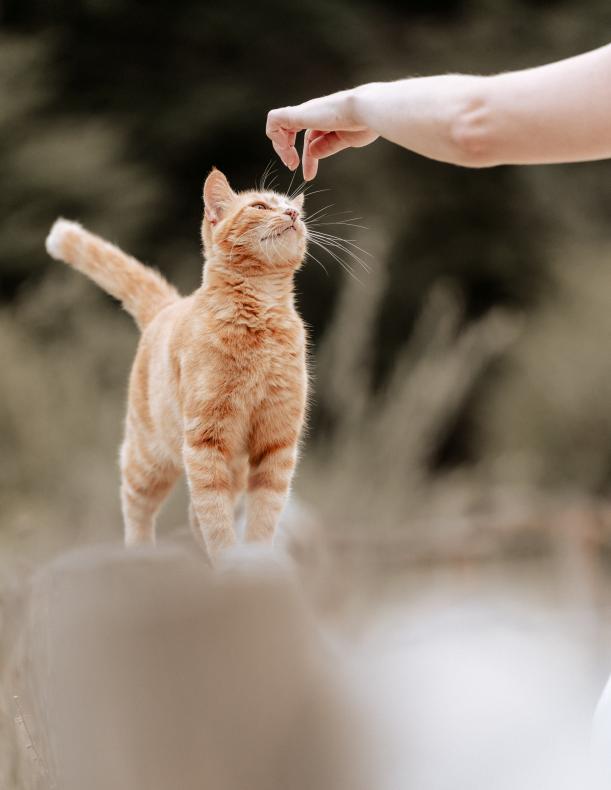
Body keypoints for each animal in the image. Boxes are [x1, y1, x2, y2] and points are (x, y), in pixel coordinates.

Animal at [45, 169, 308, 564]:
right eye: (260, 206)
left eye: (295, 209)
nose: (292, 214)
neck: (261, 317)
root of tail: (169, 305)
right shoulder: (206, 441)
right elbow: (214, 515)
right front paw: (228, 562)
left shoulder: (276, 442)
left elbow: (263, 514)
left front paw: (254, 561)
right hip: (149, 456)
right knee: (137, 505)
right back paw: (141, 553)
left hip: (230, 463)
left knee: (194, 515)